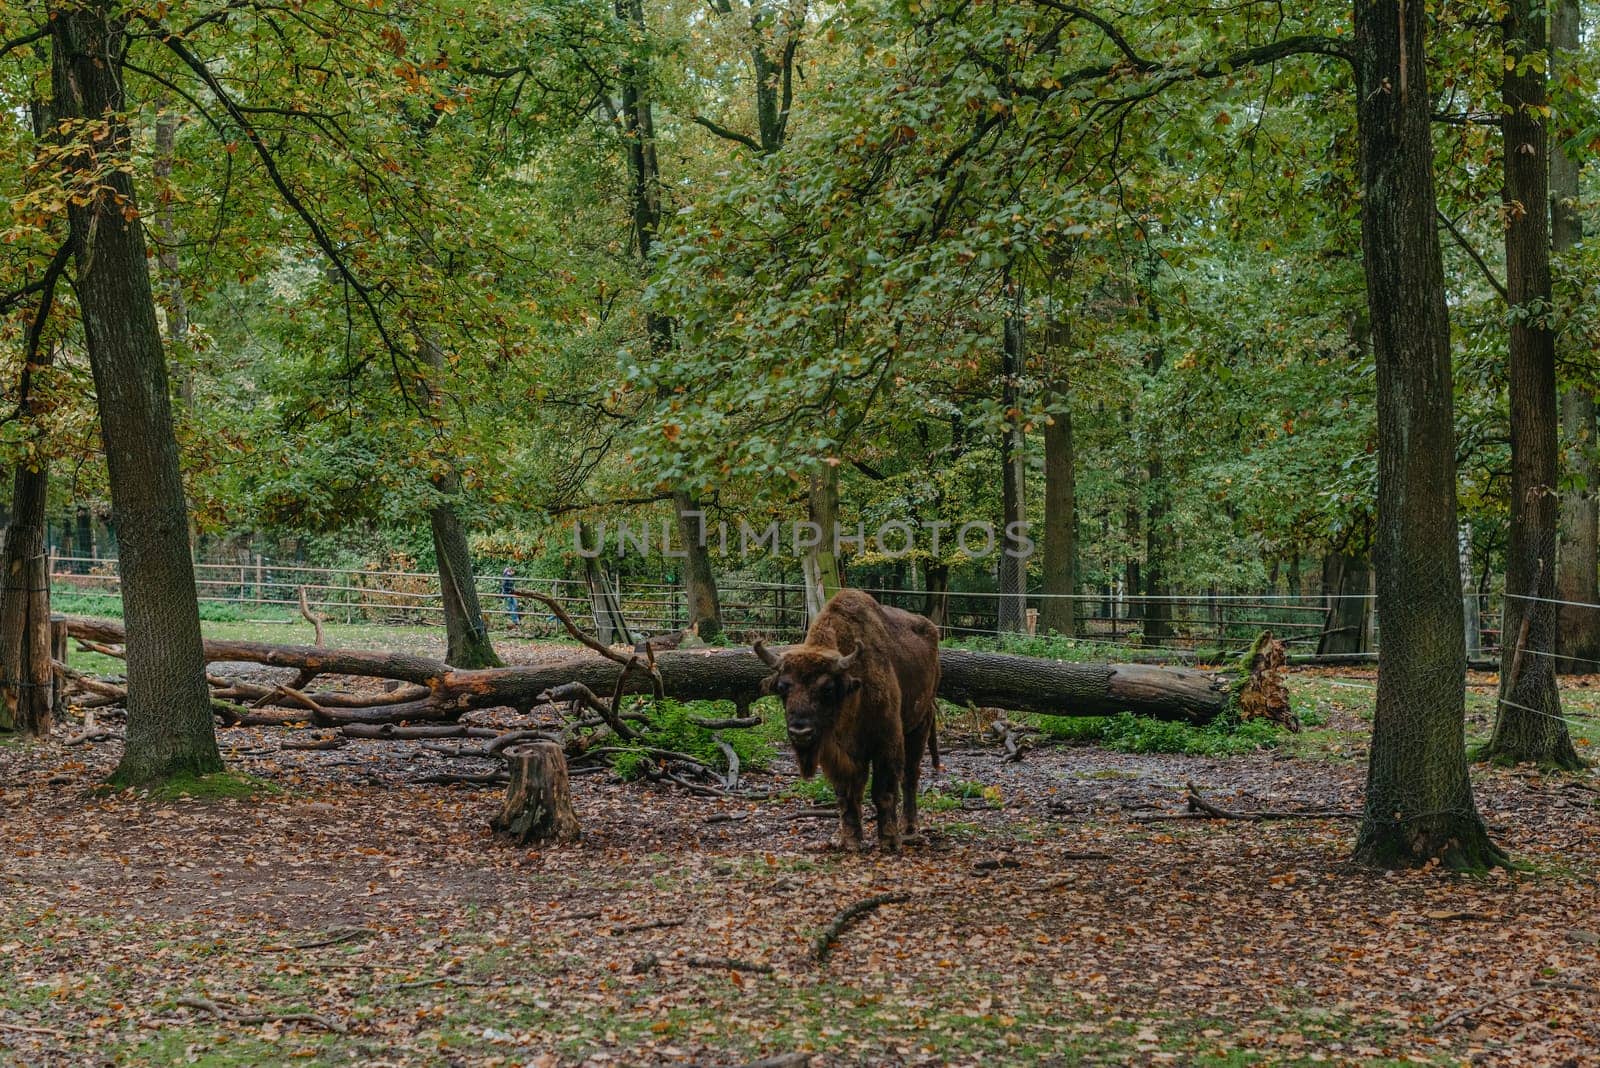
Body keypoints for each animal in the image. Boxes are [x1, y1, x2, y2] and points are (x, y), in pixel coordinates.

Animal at [758, 588, 940, 844]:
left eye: (827, 688)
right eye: (783, 688)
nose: (800, 732)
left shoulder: (886, 743)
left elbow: (883, 792)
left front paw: (889, 840)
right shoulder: (841, 755)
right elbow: (847, 794)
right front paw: (850, 840)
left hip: (919, 724)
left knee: (910, 776)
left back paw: (909, 828)